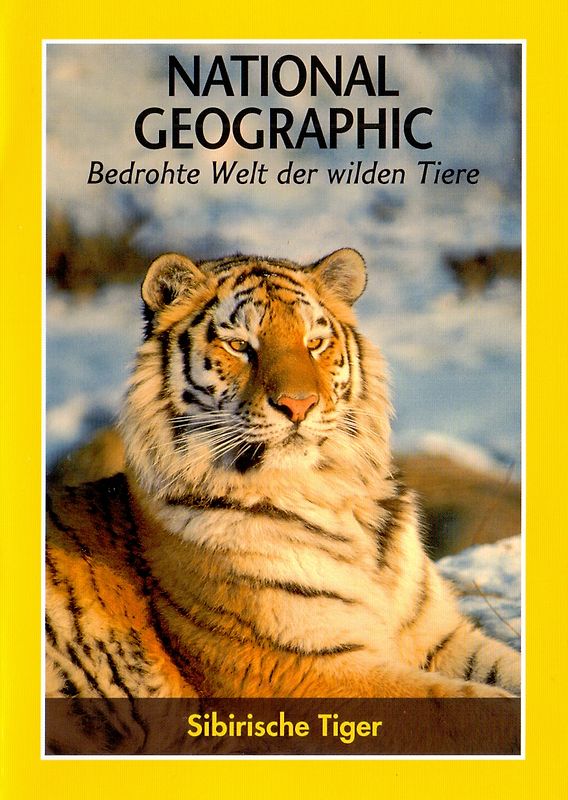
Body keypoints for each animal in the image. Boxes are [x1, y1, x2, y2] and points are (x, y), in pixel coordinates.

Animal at [46, 248, 521, 700]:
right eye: (239, 345)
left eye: (315, 342)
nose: (298, 404)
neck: (328, 492)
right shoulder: (299, 667)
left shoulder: (441, 636)